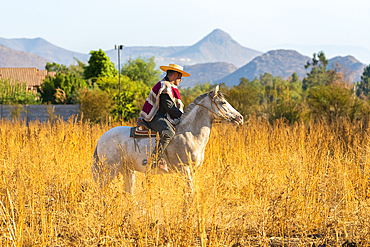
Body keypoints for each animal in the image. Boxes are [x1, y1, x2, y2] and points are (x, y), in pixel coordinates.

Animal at [92, 86, 243, 194]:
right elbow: (190, 193)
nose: (239, 117)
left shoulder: (192, 171)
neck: (190, 134)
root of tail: (101, 139)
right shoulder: (184, 169)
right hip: (111, 170)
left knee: (129, 193)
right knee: (102, 191)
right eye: (223, 102)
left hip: (128, 170)